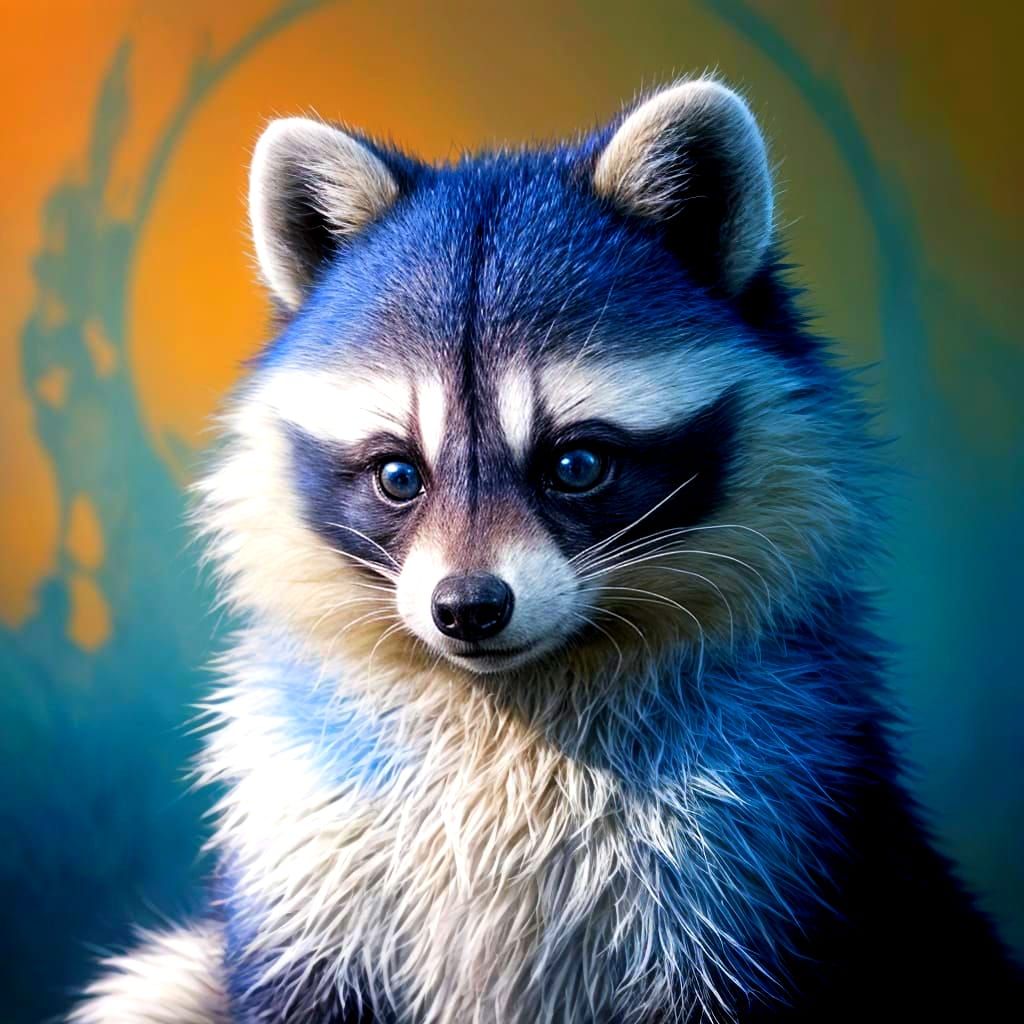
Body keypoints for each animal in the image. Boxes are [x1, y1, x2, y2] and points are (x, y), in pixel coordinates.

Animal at [71, 79, 1021, 1023]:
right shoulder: (306, 842)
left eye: (576, 465)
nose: (467, 609)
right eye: (397, 475)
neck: (505, 699)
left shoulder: (759, 831)